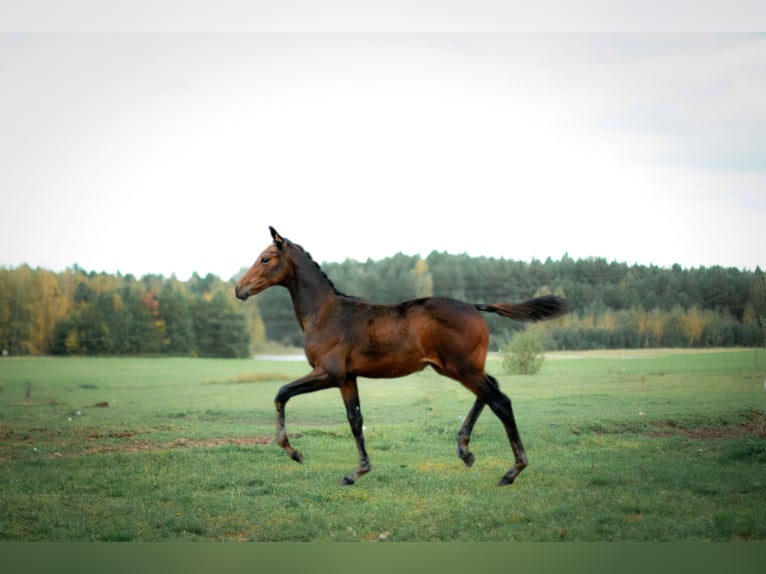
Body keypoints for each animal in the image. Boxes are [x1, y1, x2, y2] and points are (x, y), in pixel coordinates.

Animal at [236, 227, 568, 488]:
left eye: (265, 258)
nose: (240, 288)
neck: (327, 314)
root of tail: (474, 307)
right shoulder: (347, 379)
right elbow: (355, 420)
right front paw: (357, 472)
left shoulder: (328, 373)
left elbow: (281, 393)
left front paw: (294, 452)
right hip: (458, 369)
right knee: (492, 389)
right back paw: (465, 450)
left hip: (462, 369)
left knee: (501, 401)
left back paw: (511, 471)